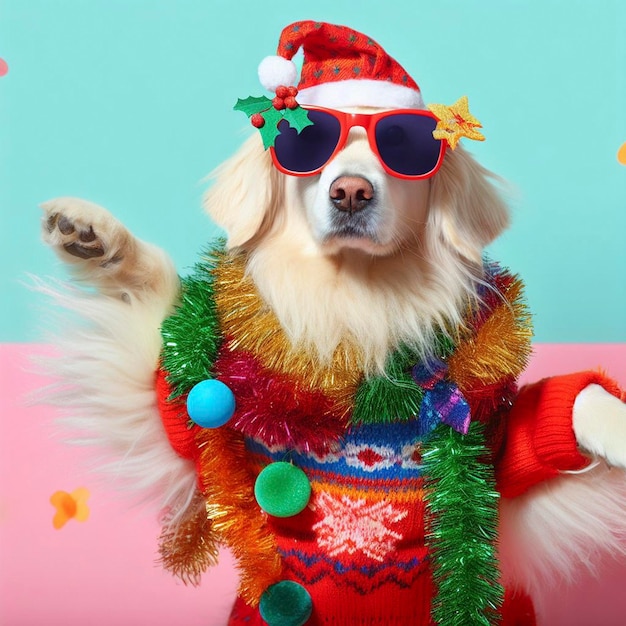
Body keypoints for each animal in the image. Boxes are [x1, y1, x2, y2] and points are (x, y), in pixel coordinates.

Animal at [39, 18, 624, 624]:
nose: (350, 192)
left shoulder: (505, 472)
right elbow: (155, 303)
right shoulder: (180, 424)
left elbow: (571, 405)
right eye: (306, 142)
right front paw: (97, 238)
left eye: (405, 147)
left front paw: (618, 429)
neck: (358, 304)